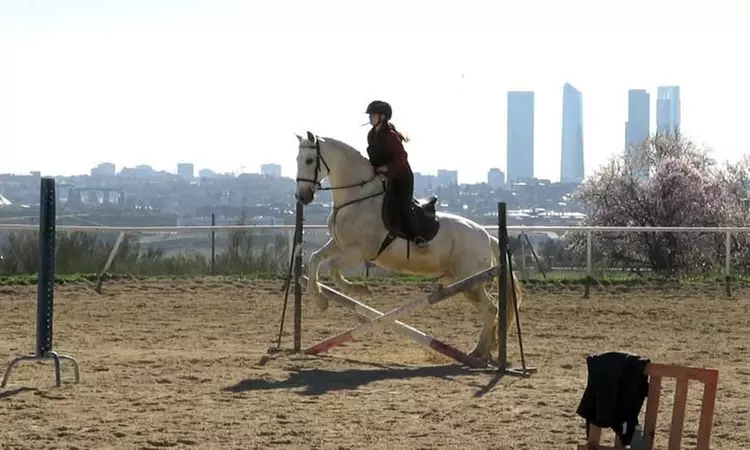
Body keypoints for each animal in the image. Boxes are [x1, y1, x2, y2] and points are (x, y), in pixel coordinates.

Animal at [293, 131, 523, 362]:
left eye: (309, 160)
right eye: (297, 160)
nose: (302, 197)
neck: (357, 199)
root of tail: (487, 236)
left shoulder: (359, 251)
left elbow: (332, 267)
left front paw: (357, 290)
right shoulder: (339, 245)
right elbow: (314, 259)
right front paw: (320, 300)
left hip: (470, 283)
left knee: (491, 309)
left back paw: (478, 352)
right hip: (464, 281)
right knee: (491, 309)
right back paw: (485, 352)